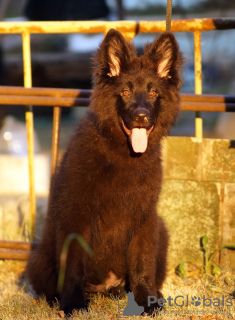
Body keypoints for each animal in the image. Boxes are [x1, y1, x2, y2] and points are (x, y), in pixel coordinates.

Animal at [26, 29, 184, 316]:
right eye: (125, 91)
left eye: (154, 92)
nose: (142, 116)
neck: (123, 154)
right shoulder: (76, 218)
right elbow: (74, 266)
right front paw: (74, 304)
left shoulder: (144, 218)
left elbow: (142, 264)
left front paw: (147, 302)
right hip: (40, 259)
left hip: (161, 230)